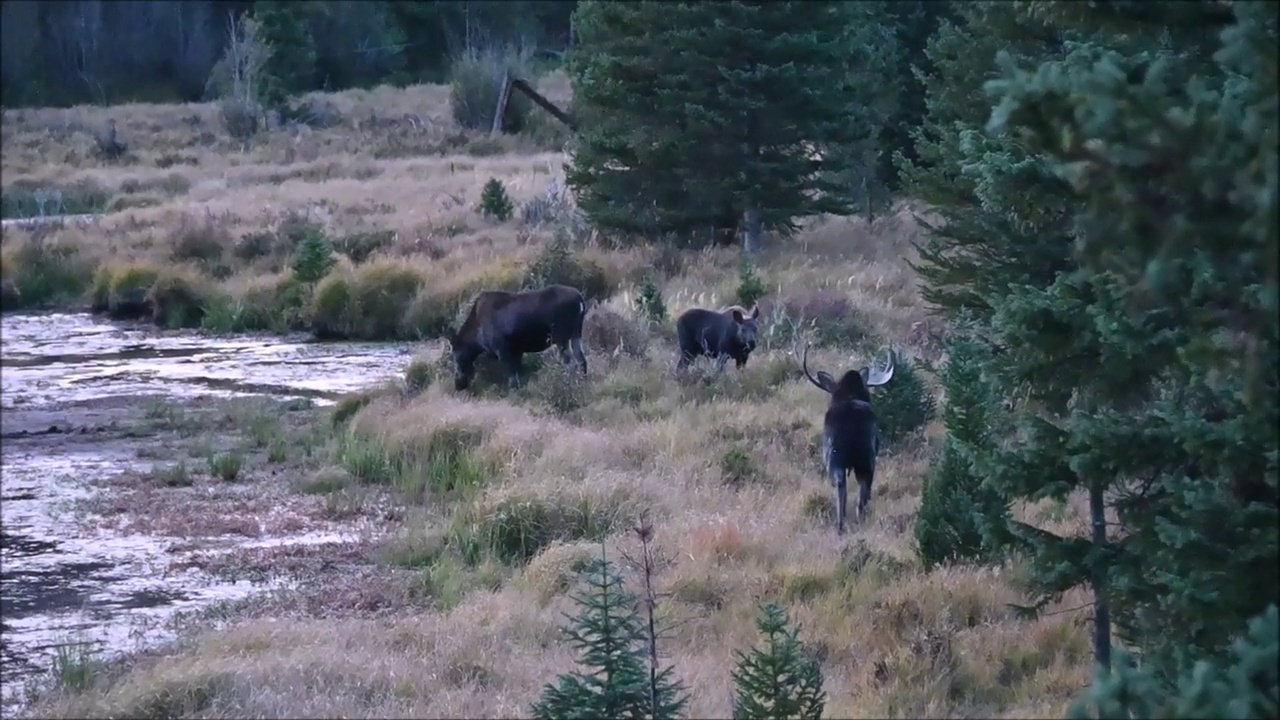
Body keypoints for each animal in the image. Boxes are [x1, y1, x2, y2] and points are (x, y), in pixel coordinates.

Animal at [450, 283, 588, 389]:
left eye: (454, 356)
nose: (458, 385)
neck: (477, 340)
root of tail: (580, 300)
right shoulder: (517, 350)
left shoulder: (502, 348)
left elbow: (512, 378)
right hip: (576, 333)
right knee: (581, 360)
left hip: (561, 336)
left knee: (571, 364)